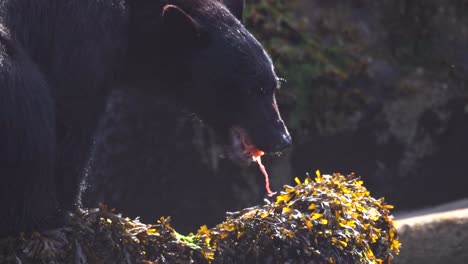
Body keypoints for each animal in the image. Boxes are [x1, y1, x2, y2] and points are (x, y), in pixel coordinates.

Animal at [0, 0, 290, 235]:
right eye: (253, 89)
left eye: (273, 85)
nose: (282, 139)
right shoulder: (85, 35)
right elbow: (73, 116)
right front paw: (73, 212)